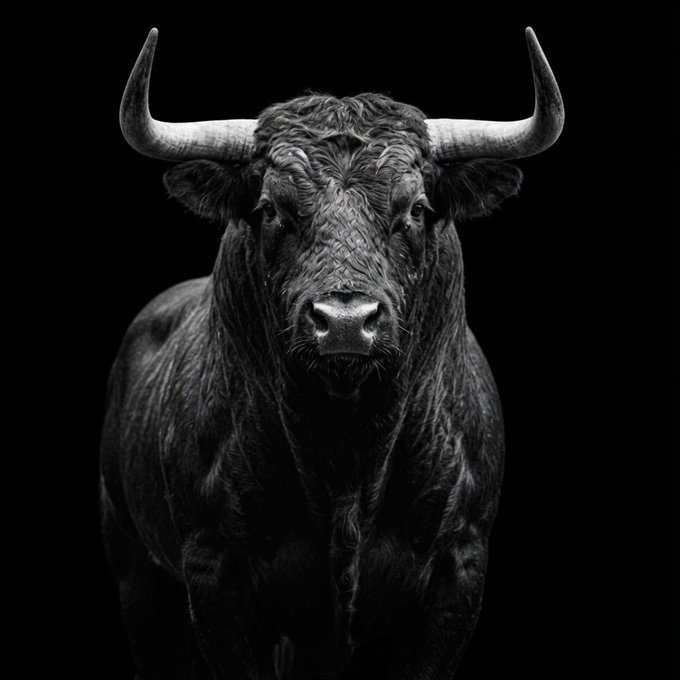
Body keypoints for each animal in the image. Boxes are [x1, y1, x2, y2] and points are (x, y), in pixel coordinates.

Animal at [100, 27, 564, 680]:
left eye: (415, 208)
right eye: (272, 208)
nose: (345, 323)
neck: (347, 459)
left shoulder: (460, 568)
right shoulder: (211, 572)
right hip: (136, 573)